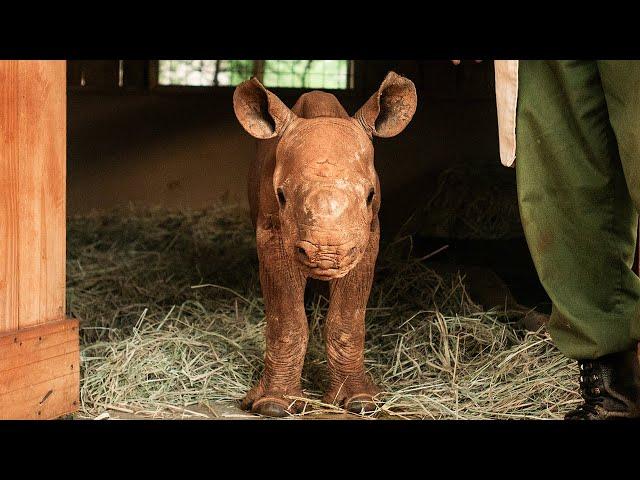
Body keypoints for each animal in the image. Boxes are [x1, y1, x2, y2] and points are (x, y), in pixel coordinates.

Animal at [232, 71, 418, 416]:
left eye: (370, 194)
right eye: (281, 195)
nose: (326, 255)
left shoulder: (366, 236)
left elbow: (348, 318)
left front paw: (360, 401)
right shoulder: (272, 233)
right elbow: (286, 319)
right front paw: (273, 404)